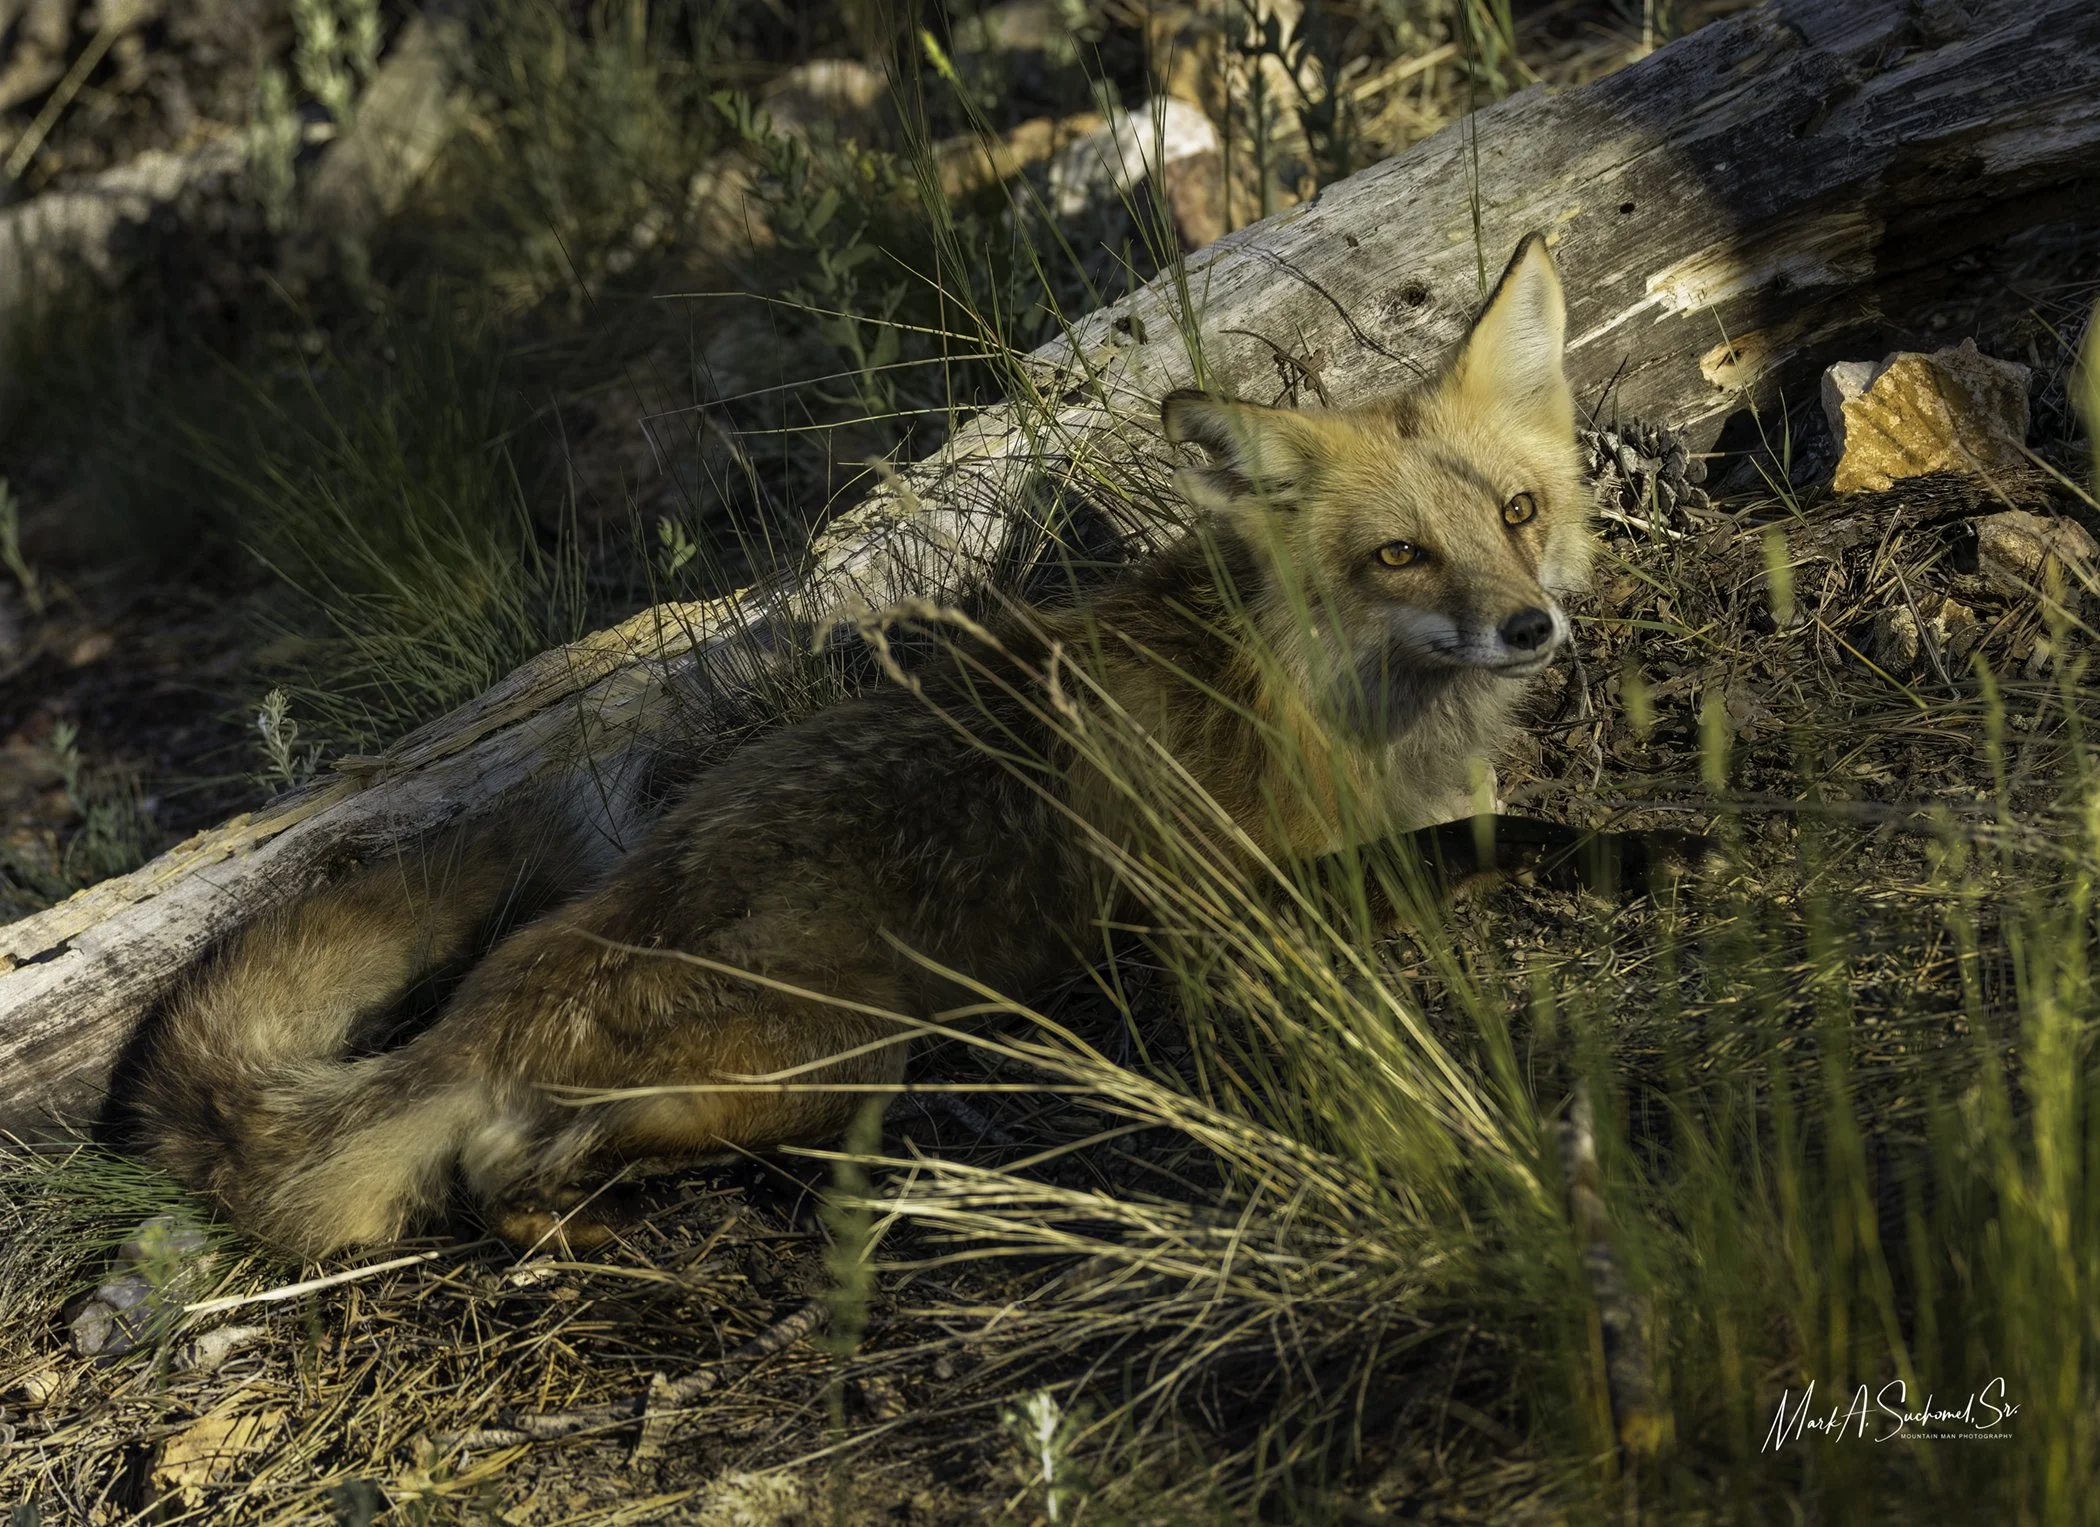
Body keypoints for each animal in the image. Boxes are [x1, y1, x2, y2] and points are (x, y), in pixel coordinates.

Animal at [129, 234, 1706, 1257]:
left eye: (1514, 512)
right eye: (1398, 555)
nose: (1531, 628)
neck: (1329, 698)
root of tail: (491, 1003)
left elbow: (1497, 814)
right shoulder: (1232, 913)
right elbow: (1502, 834)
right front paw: (1634, 849)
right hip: (833, 1051)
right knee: (517, 1172)